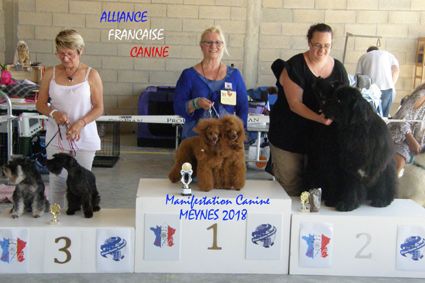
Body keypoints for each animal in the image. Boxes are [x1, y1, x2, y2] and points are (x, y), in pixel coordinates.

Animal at [306, 79, 396, 212]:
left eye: (339, 100)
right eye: (333, 96)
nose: (324, 106)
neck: (357, 132)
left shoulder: (380, 166)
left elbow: (382, 184)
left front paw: (381, 200)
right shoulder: (350, 167)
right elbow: (351, 187)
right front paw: (347, 204)